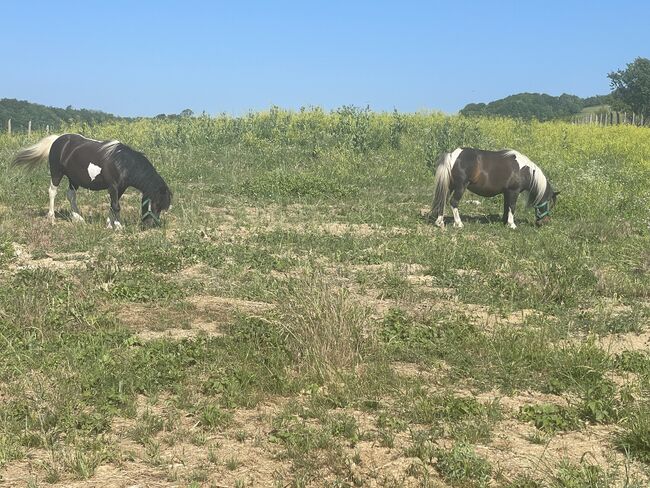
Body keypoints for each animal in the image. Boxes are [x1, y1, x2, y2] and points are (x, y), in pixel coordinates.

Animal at [12, 134, 171, 230]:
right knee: (52, 191)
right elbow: (116, 206)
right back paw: (51, 217)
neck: (123, 163)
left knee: (71, 195)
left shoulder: (120, 188)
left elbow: (112, 205)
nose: (150, 225)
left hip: (73, 179)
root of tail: (58, 139)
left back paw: (77, 218)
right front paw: (118, 226)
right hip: (56, 172)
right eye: (155, 204)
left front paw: (109, 224)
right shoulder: (113, 186)